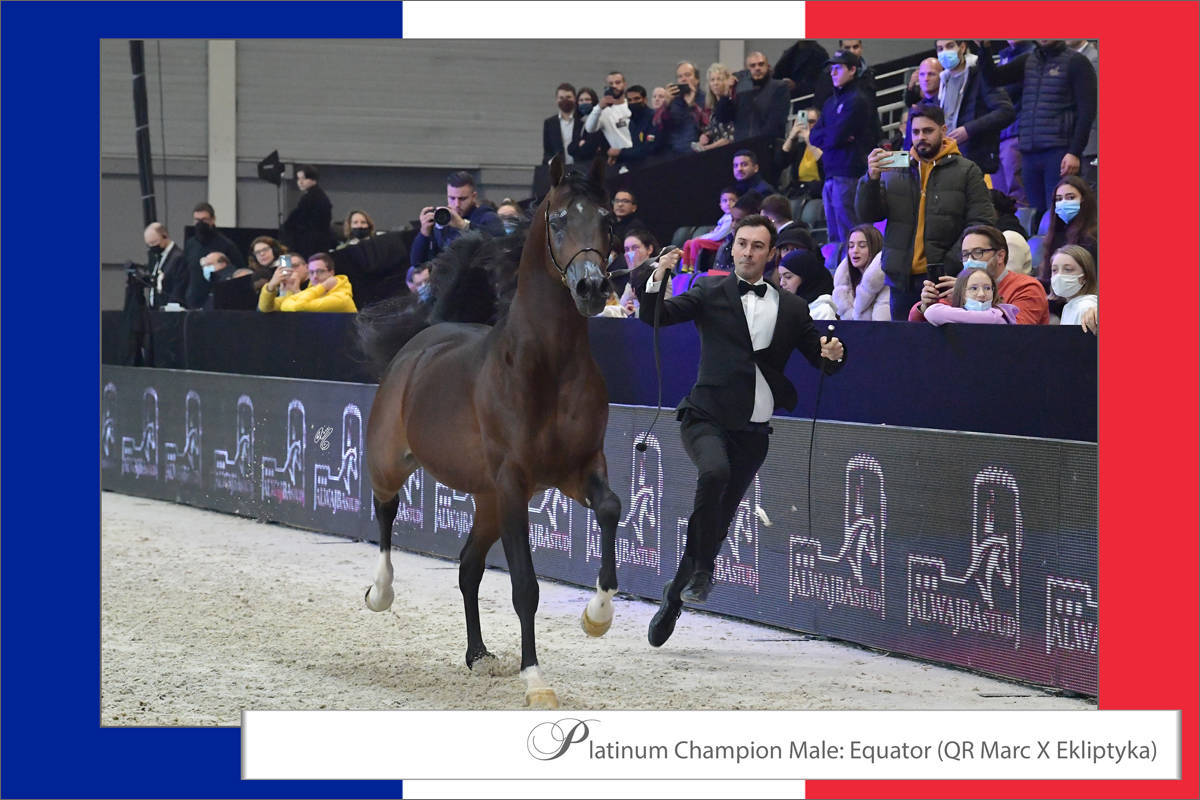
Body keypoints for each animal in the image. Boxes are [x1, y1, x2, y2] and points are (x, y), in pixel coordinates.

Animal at [358, 153, 622, 708]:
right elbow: (525, 586)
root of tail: (423, 341)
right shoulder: (514, 483)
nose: (591, 288)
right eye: (558, 220)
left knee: (467, 566)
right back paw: (381, 593)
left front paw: (597, 617)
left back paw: (477, 654)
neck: (546, 366)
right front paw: (536, 679)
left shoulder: (579, 469)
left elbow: (611, 508)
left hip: (486, 501)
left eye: (608, 220)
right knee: (386, 514)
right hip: (393, 463)